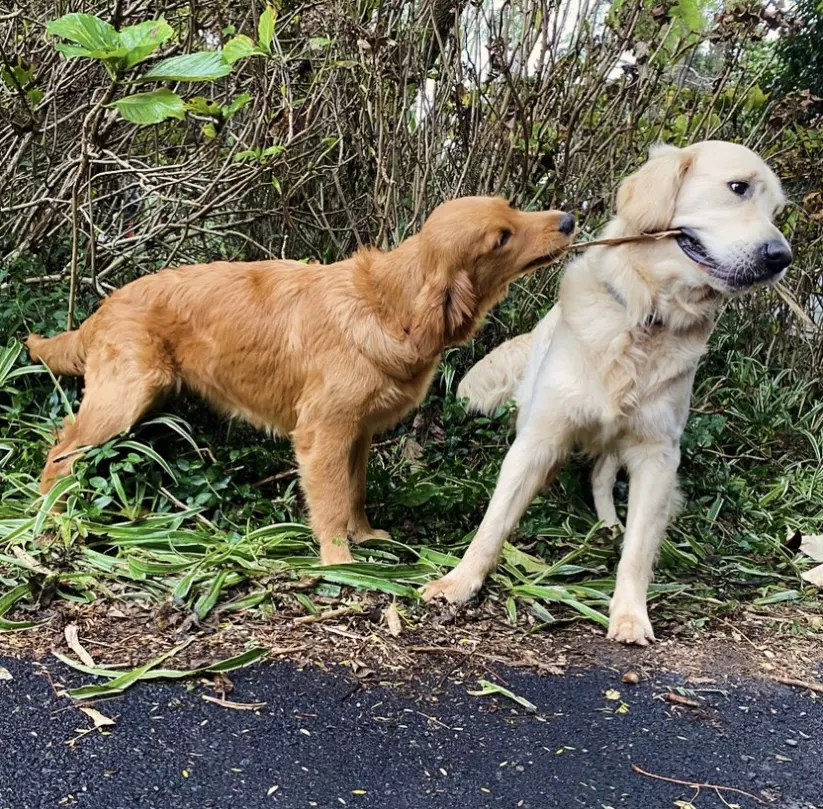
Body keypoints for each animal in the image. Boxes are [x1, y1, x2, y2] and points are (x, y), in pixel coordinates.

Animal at [26, 197, 575, 565]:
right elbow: (329, 502)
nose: (568, 220)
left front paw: (365, 536)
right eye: (501, 238)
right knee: (61, 446)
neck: (387, 304)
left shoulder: (357, 432)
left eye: (512, 208)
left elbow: (354, 492)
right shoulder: (322, 433)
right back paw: (51, 515)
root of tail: (105, 306)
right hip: (126, 397)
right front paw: (339, 563)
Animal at [421, 141, 792, 645]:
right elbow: (494, 522)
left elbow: (638, 551)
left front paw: (630, 614)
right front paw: (459, 581)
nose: (781, 256)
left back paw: (609, 523)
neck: (646, 317)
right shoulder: (539, 438)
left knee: (602, 476)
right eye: (738, 187)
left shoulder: (658, 455)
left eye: (778, 212)